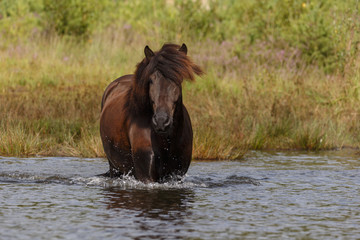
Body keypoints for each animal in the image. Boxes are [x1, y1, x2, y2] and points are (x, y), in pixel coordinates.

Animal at [100, 43, 202, 182]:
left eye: (178, 79)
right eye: (151, 80)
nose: (161, 122)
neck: (167, 140)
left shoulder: (176, 176)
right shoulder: (146, 177)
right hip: (114, 168)